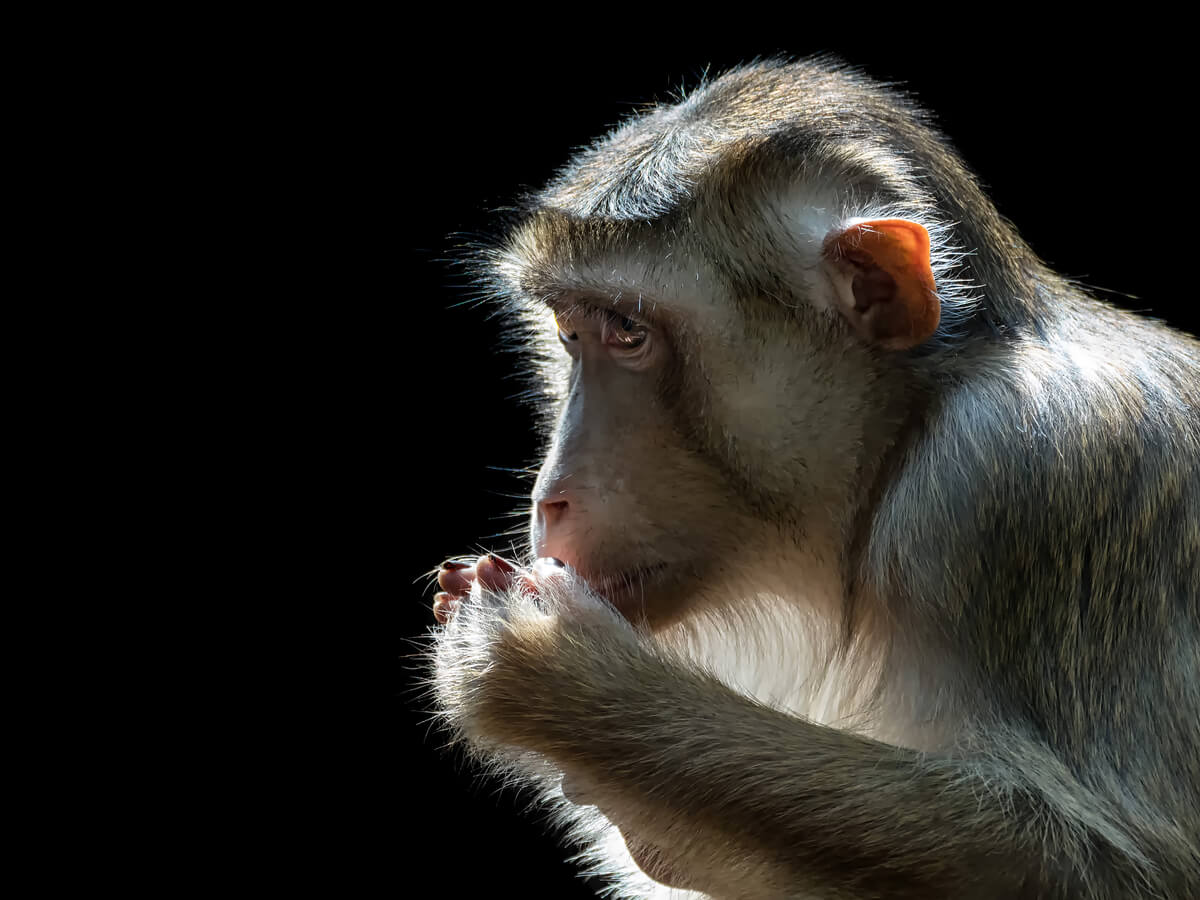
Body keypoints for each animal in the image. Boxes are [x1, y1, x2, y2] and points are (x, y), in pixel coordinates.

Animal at [428, 58, 1200, 899]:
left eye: (628, 334)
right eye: (570, 335)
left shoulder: (1026, 477)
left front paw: (560, 681)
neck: (912, 426)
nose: (550, 497)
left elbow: (1103, 871)